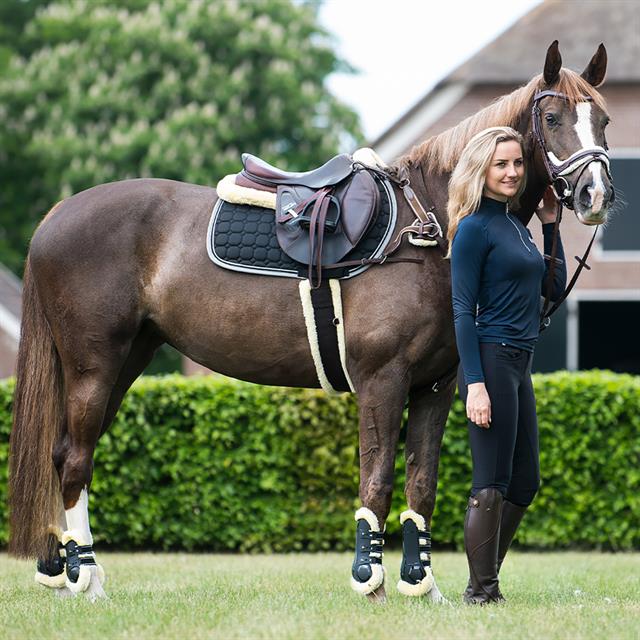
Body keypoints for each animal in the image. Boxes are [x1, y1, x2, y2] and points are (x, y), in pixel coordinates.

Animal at [7, 40, 612, 600]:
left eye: (602, 120)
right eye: (553, 119)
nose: (595, 194)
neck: (428, 229)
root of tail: (57, 215)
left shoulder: (435, 387)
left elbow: (422, 484)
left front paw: (423, 585)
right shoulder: (383, 380)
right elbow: (377, 481)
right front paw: (370, 580)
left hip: (125, 360)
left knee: (61, 453)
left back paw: (59, 569)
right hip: (95, 366)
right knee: (74, 460)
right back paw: (86, 580)